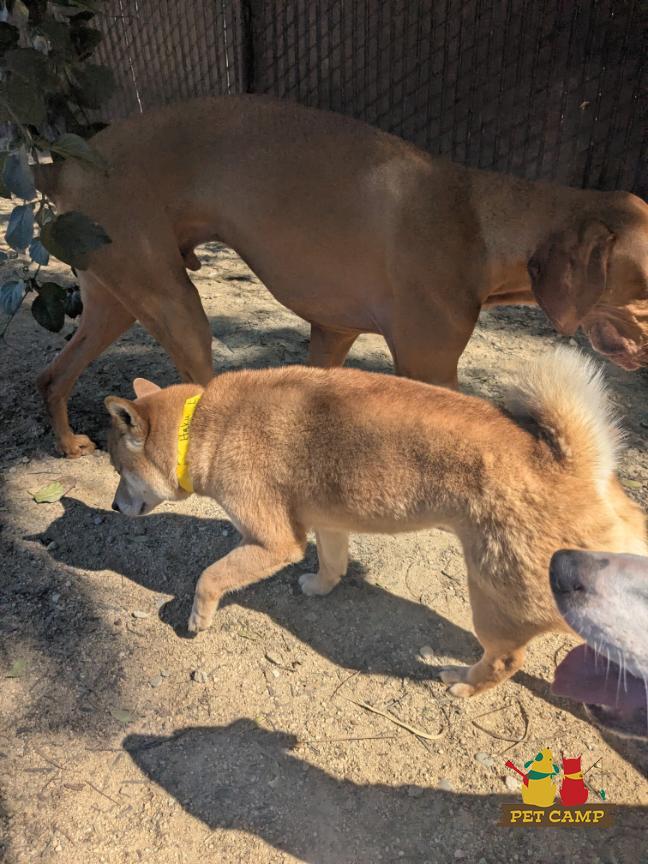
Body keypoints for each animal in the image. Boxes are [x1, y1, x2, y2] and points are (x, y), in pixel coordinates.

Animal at [34, 95, 648, 458]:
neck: (479, 218)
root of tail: (63, 164)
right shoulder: (431, 367)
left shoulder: (334, 336)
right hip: (176, 307)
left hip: (115, 303)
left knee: (51, 375)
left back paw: (68, 442)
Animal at [104, 347, 646, 697]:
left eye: (117, 469)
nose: (111, 507)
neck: (201, 427)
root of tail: (578, 466)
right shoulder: (328, 522)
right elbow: (331, 564)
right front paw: (320, 587)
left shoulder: (273, 541)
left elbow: (210, 577)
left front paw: (198, 617)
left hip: (494, 597)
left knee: (506, 660)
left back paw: (465, 686)